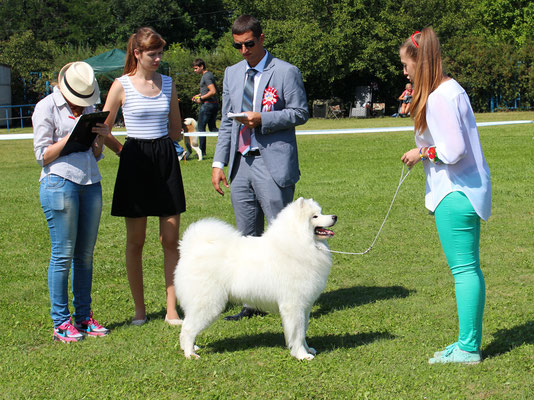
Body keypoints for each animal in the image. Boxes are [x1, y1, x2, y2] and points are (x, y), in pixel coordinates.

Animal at [174, 198, 338, 360]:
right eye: (315, 216)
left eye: (321, 212)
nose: (335, 217)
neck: (299, 243)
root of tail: (190, 249)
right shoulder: (293, 305)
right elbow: (297, 333)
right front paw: (301, 355)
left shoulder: (305, 306)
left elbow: (303, 331)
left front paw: (308, 349)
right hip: (207, 303)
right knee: (187, 329)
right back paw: (190, 354)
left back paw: (190, 348)